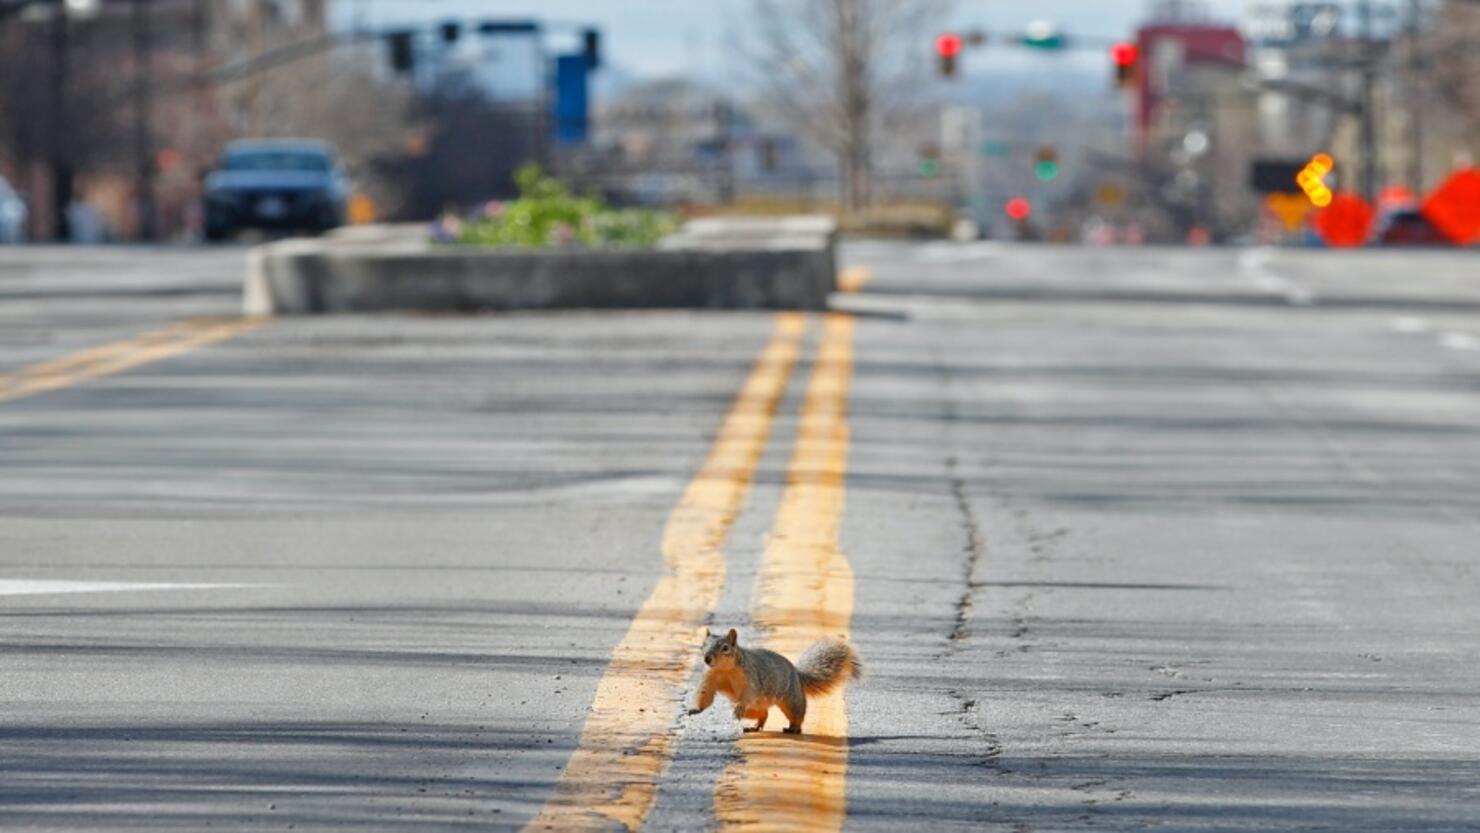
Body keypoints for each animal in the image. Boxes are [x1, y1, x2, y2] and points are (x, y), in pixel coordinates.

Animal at [686, 630, 864, 733]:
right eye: (702, 645)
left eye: (725, 648)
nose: (707, 658)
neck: (725, 670)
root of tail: (797, 673)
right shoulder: (710, 678)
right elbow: (704, 694)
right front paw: (695, 709)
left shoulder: (752, 677)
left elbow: (750, 693)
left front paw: (741, 704)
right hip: (754, 709)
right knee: (764, 714)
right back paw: (755, 726)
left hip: (792, 700)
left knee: (797, 715)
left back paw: (793, 728)